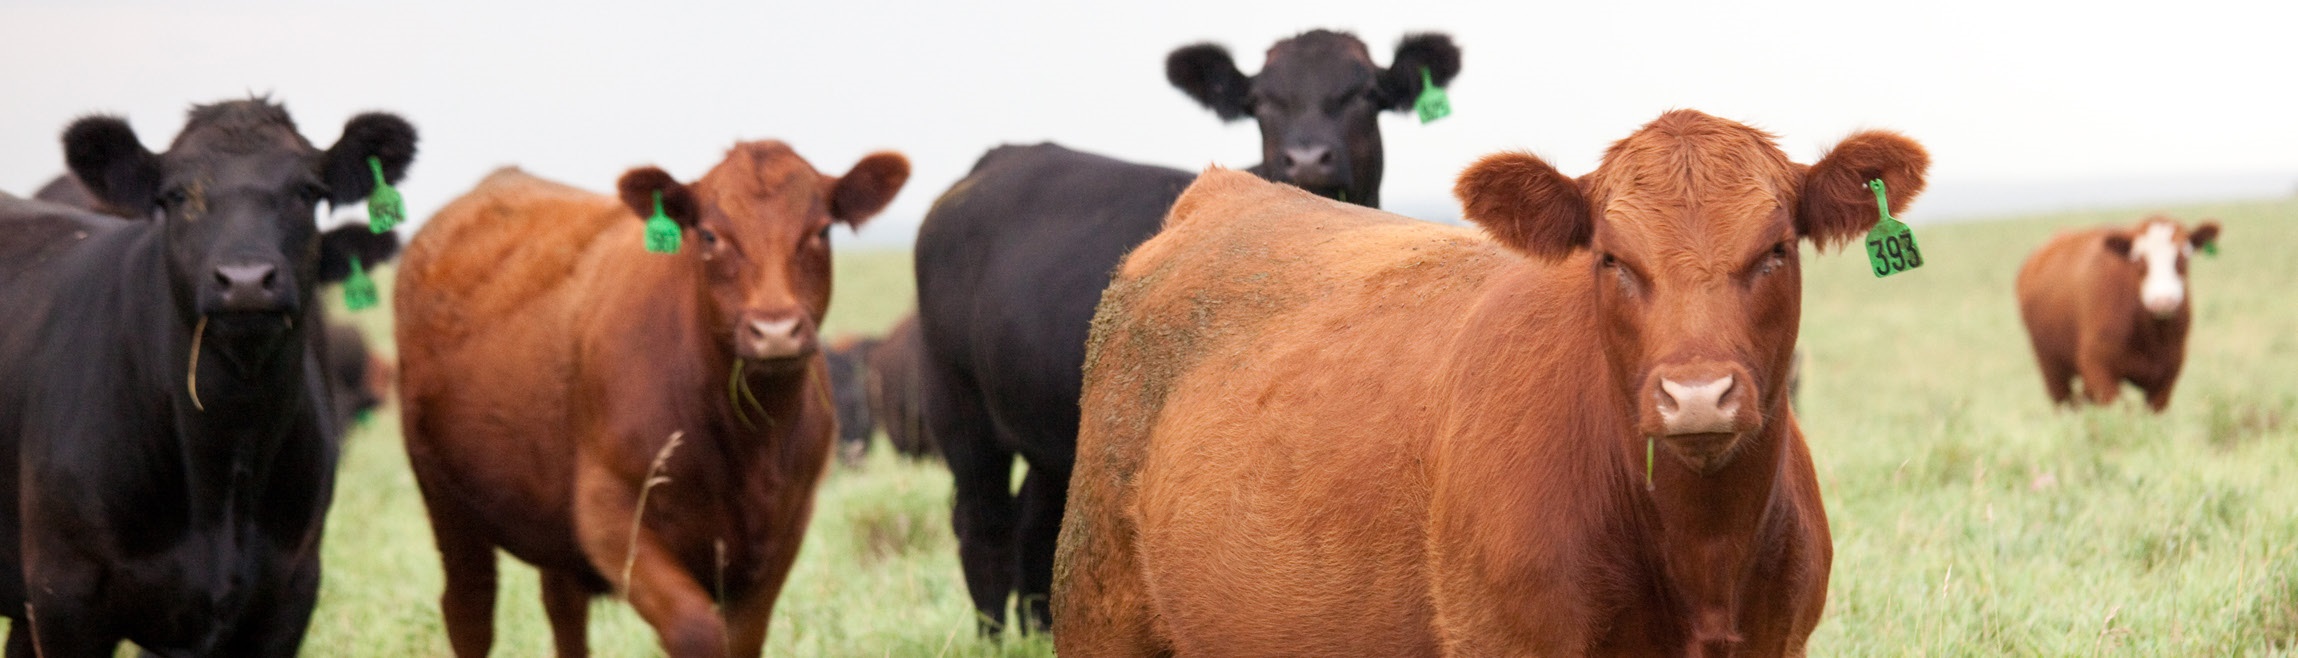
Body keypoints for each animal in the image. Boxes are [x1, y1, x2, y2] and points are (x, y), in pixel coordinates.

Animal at [393, 141, 909, 657]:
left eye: (821, 231)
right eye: (709, 235)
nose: (776, 330)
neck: (746, 441)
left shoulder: (782, 532)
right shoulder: (610, 516)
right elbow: (696, 630)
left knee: (563, 609)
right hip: (447, 502)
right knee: (470, 610)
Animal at [914, 29, 1460, 634]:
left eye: (1365, 94)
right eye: (1260, 102)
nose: (1307, 158)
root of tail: (995, 160)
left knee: (1036, 532)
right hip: (959, 410)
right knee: (983, 527)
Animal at [1054, 110, 1930, 656]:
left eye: (1776, 249)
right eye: (1611, 258)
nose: (1697, 395)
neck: (1702, 554)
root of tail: (1221, 193)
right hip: (1097, 612)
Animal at [2015, 216, 2221, 411]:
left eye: (2183, 258)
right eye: (2138, 260)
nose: (2163, 301)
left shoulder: (2166, 379)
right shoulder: (2098, 369)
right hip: (2052, 370)